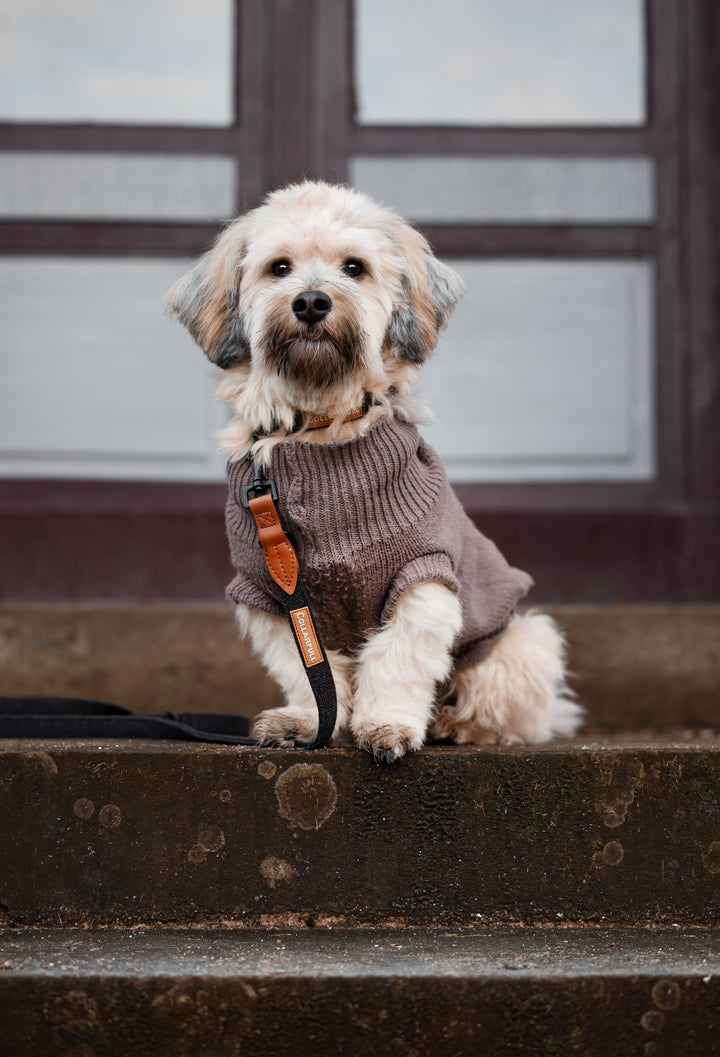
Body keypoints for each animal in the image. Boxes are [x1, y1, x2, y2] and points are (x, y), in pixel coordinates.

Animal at [165, 181, 579, 761]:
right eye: (280, 267)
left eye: (354, 268)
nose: (311, 301)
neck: (319, 429)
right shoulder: (270, 594)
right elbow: (306, 670)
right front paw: (308, 722)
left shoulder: (423, 578)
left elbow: (397, 660)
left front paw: (387, 725)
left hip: (523, 642)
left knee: (515, 714)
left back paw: (460, 725)